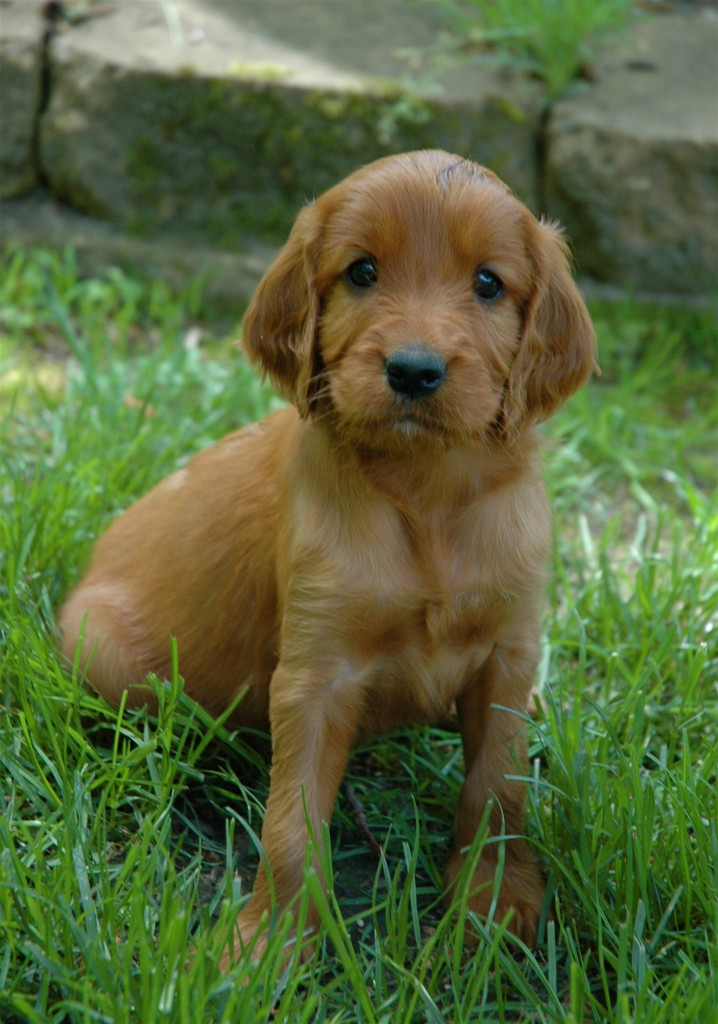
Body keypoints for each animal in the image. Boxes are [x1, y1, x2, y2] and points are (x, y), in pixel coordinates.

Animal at [58, 148, 598, 962]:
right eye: (362, 271)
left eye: (488, 282)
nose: (413, 370)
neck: (427, 493)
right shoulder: (318, 672)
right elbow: (293, 822)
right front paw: (268, 946)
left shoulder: (509, 649)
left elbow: (497, 787)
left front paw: (496, 902)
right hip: (100, 648)